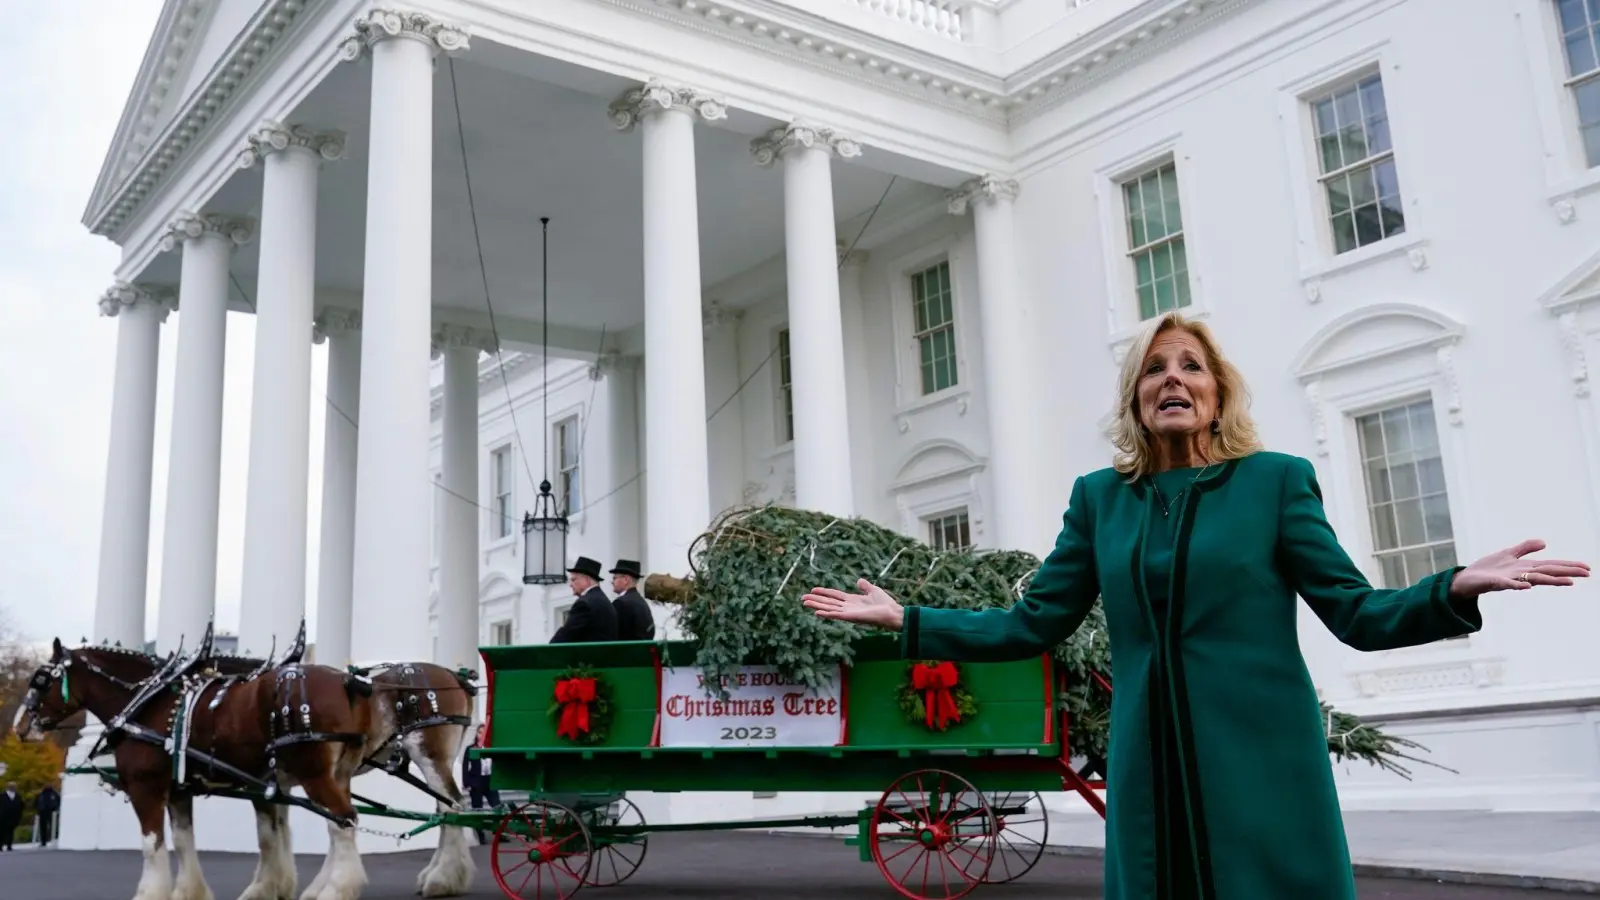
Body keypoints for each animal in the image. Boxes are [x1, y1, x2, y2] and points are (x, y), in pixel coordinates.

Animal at [13, 634, 387, 890]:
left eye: (41, 680)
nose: (19, 725)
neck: (149, 703)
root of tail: (348, 681)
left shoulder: (145, 787)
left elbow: (152, 846)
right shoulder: (180, 790)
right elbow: (183, 842)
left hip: (314, 774)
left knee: (343, 821)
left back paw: (337, 888)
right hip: (339, 773)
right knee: (340, 825)